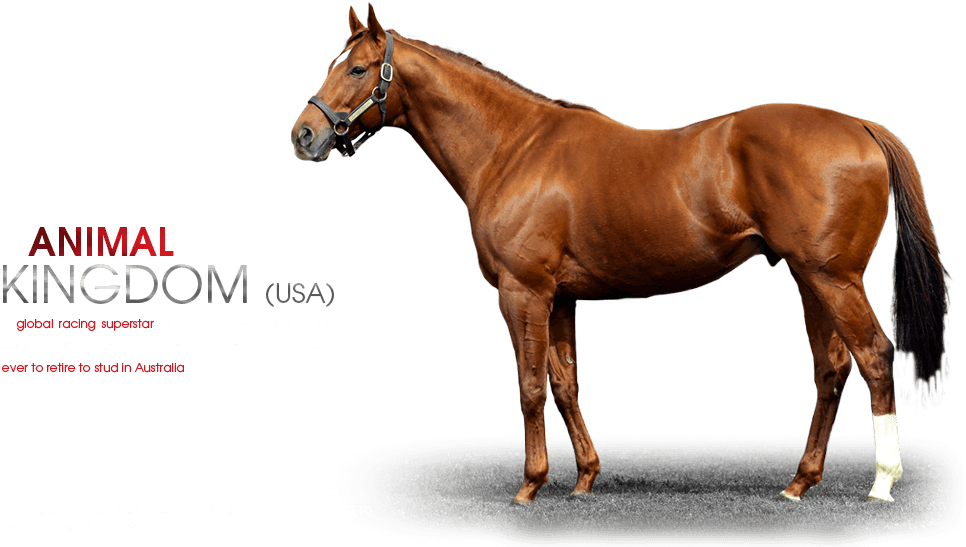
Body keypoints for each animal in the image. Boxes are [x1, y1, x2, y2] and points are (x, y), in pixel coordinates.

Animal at [292, 3, 950, 504]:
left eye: (358, 68)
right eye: (333, 65)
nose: (304, 135)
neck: (512, 147)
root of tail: (861, 127)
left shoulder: (522, 292)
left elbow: (529, 386)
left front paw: (528, 488)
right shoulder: (560, 298)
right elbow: (564, 384)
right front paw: (583, 480)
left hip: (834, 277)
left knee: (874, 357)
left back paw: (881, 486)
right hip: (809, 279)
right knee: (831, 369)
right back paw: (799, 483)